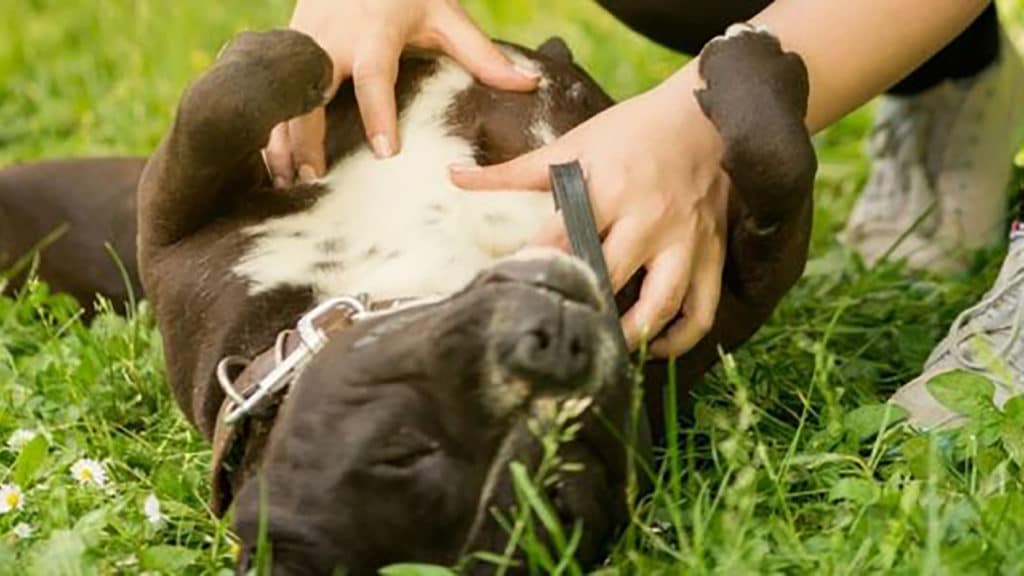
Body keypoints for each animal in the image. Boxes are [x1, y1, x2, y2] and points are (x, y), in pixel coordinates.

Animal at [0, 26, 815, 573]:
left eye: (568, 478)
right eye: (404, 449)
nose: (557, 347)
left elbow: (778, 168)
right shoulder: (180, 239)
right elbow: (219, 105)